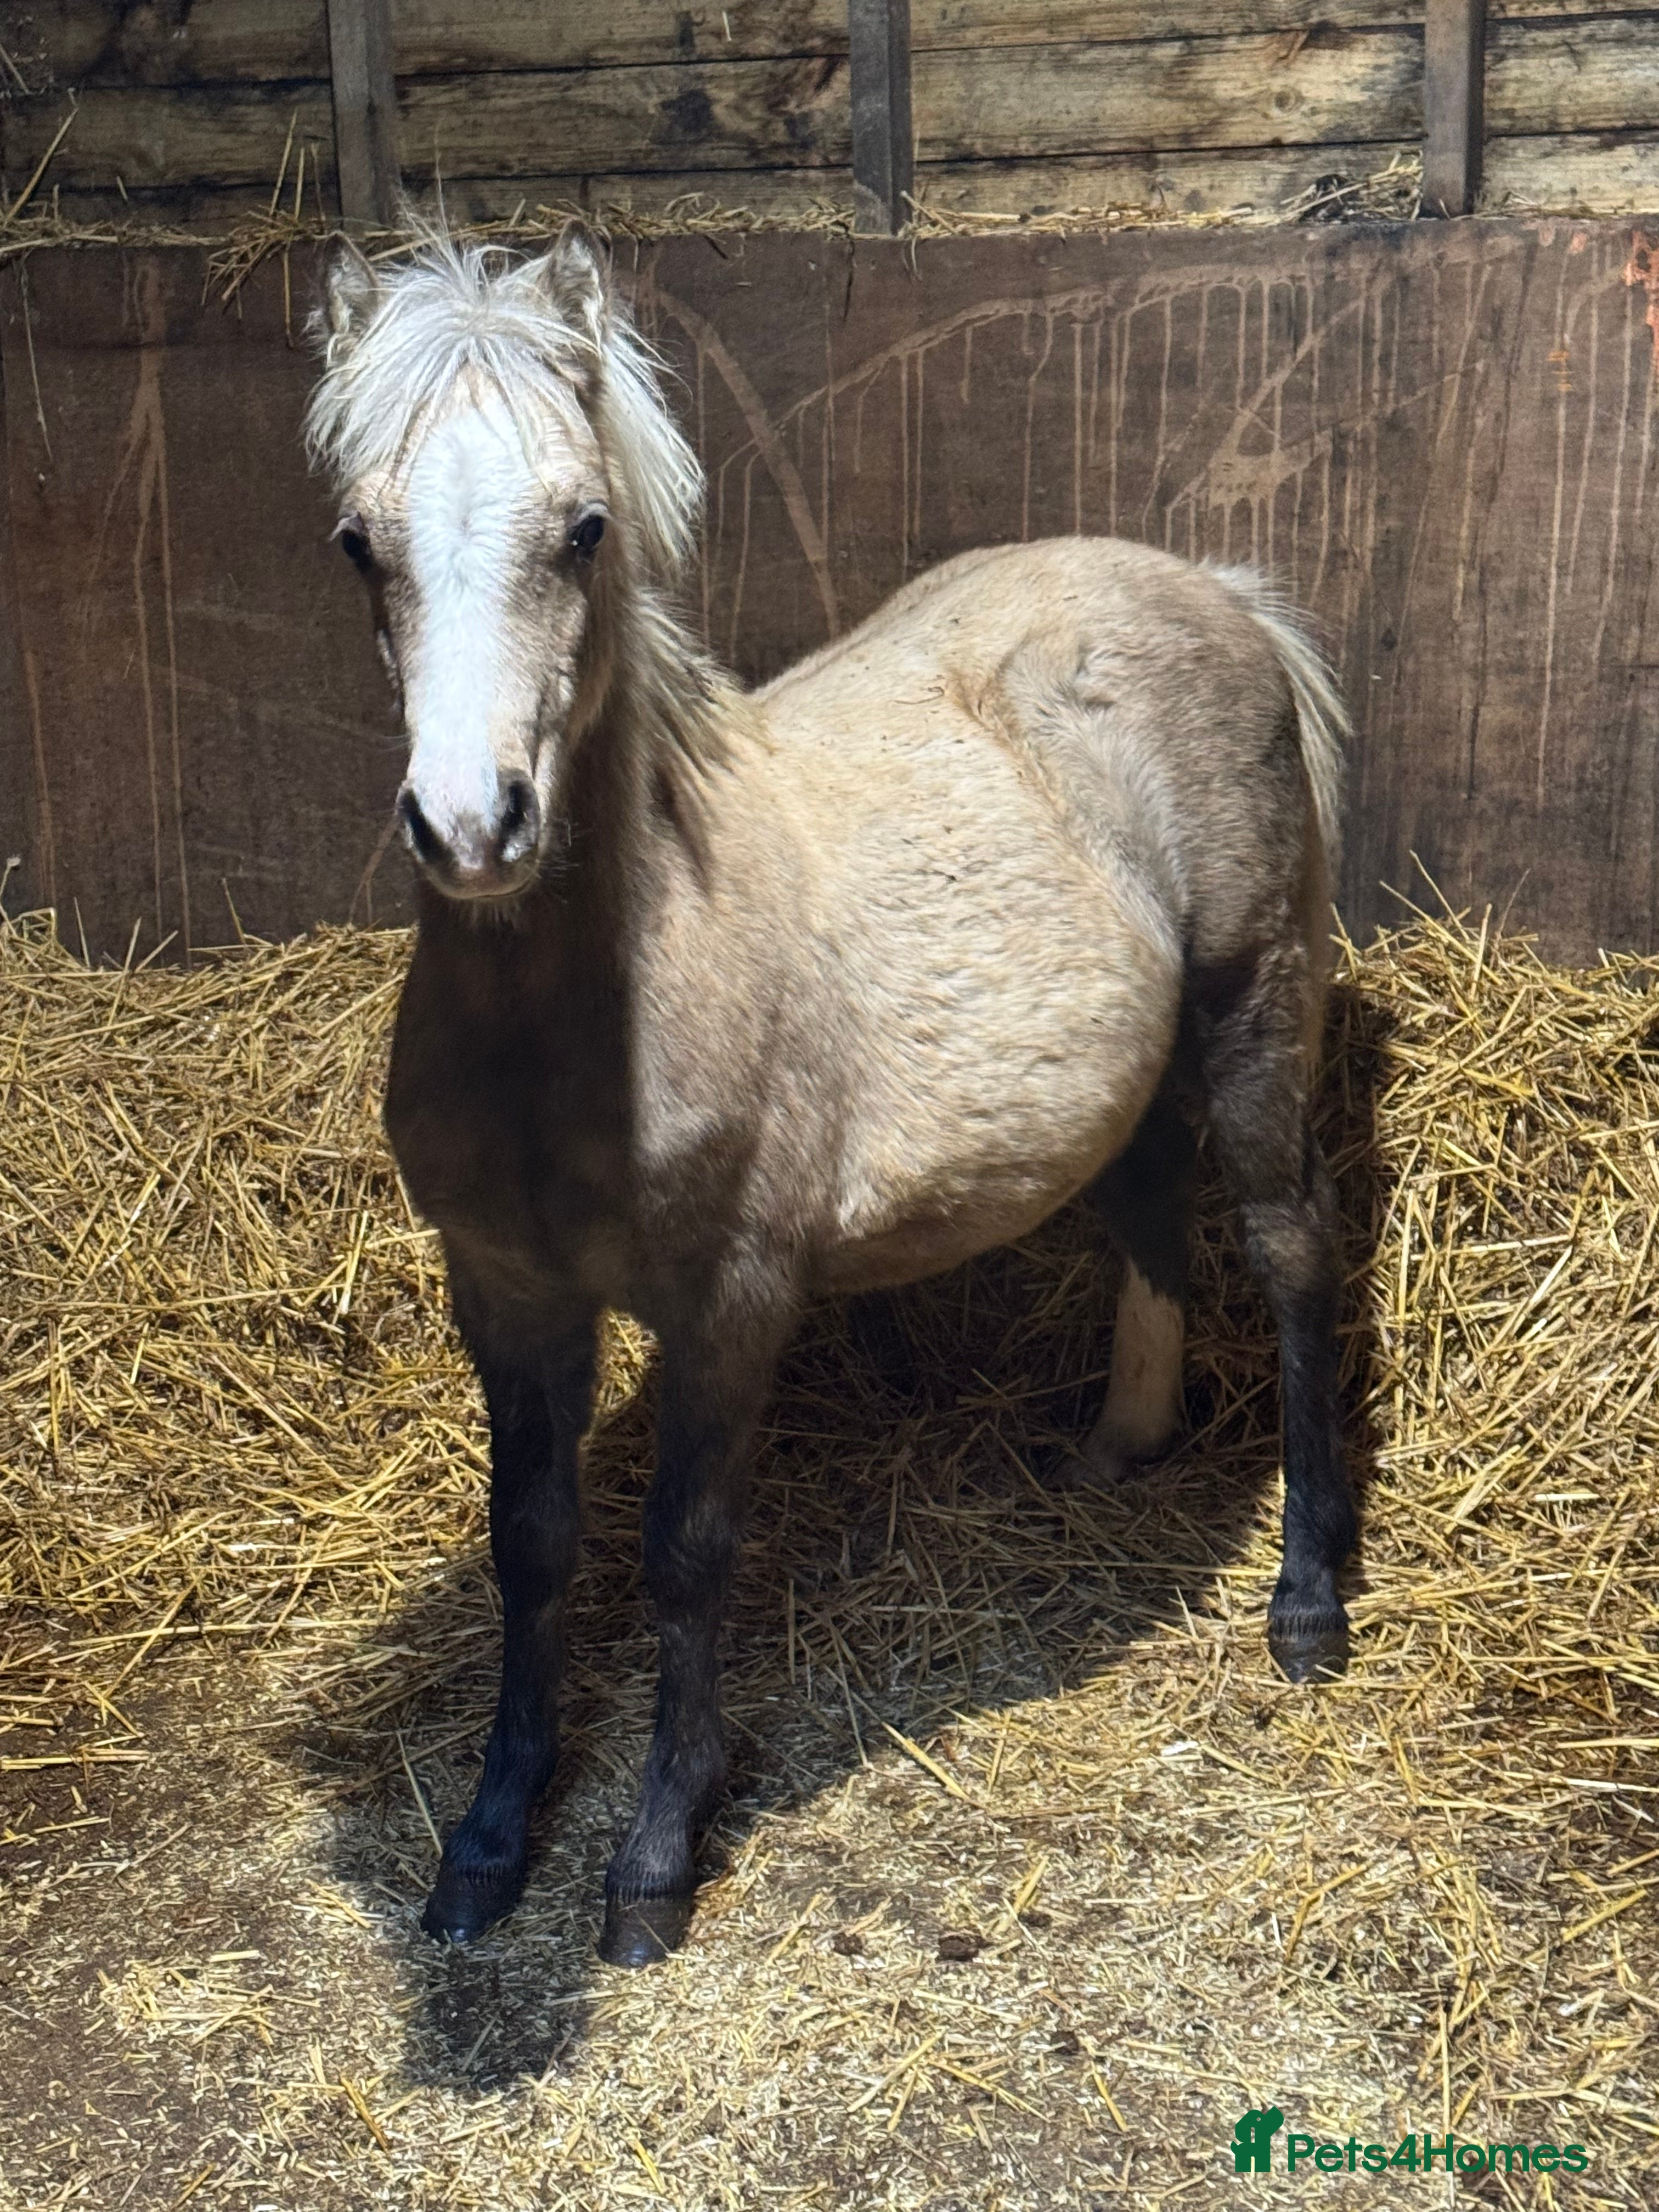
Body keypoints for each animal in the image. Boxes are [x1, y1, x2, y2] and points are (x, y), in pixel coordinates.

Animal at [306, 223, 1357, 1968]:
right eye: (357, 542)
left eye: (584, 529)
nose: (471, 827)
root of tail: (1222, 594)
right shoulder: (505, 1291)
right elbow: (533, 1551)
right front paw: (489, 1839)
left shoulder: (734, 1301)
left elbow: (684, 1559)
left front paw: (655, 1857)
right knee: (1147, 1210)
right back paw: (1119, 1447)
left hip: (1255, 1006)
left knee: (1289, 1253)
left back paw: (1309, 1601)